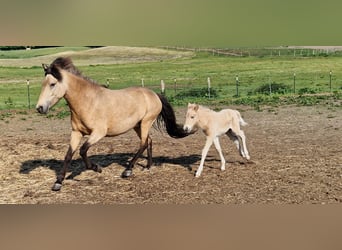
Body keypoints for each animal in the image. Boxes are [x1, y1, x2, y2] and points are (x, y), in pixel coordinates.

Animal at [36, 57, 188, 191]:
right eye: (42, 84)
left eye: (52, 84)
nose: (39, 108)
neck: (88, 101)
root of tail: (154, 94)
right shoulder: (76, 133)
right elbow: (68, 155)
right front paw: (58, 183)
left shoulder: (98, 133)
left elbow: (83, 150)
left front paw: (97, 168)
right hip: (137, 125)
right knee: (149, 141)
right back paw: (148, 166)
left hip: (146, 122)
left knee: (143, 143)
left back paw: (128, 170)